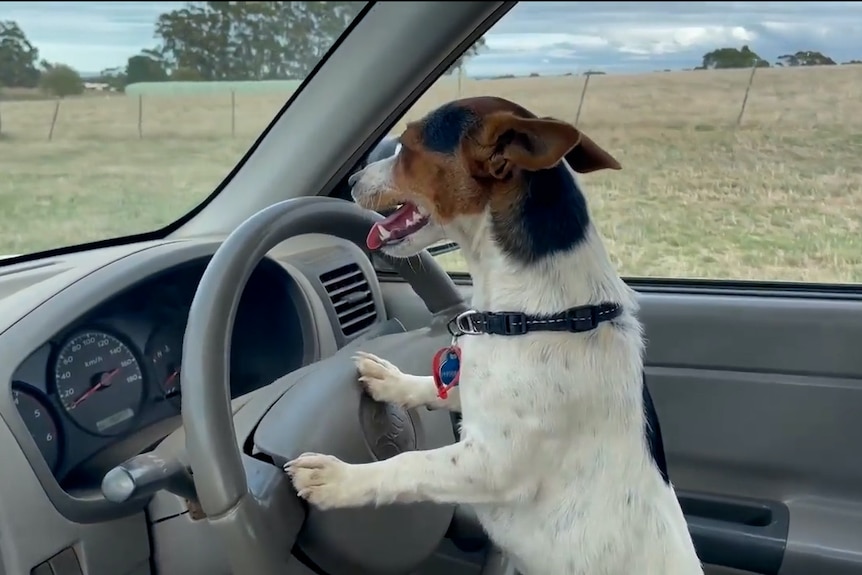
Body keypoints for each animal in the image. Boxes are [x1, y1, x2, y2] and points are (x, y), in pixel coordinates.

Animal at [286, 98, 704, 575]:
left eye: (407, 145)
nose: (352, 181)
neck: (540, 316)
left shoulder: (487, 465)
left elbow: (408, 464)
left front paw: (339, 477)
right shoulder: (475, 390)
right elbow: (438, 385)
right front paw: (390, 379)